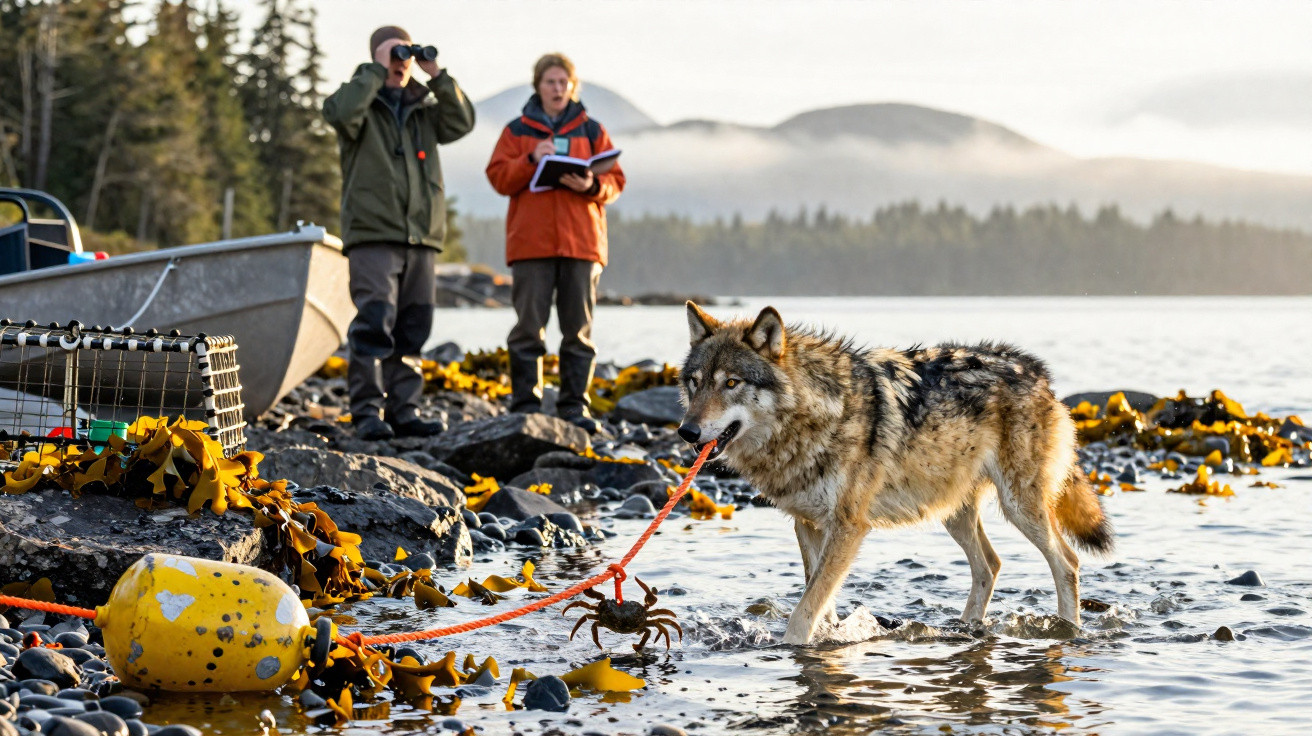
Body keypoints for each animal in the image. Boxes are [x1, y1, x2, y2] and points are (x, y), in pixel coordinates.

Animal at [677, 302, 1113, 645]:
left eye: (731, 383)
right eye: (695, 384)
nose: (687, 431)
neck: (816, 416)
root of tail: (1040, 375)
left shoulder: (848, 527)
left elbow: (806, 608)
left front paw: (793, 646)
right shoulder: (808, 525)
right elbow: (821, 602)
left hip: (1019, 507)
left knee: (1067, 562)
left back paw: (1068, 631)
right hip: (953, 513)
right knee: (990, 565)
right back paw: (967, 628)